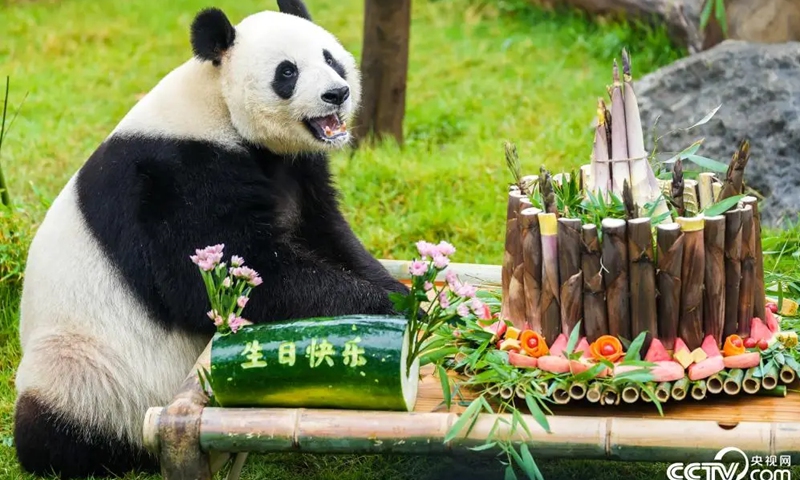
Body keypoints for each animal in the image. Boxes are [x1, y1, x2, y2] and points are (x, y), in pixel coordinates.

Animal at [13, 2, 409, 478]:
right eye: (287, 72)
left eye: (330, 58)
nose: (337, 93)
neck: (217, 107)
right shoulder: (175, 177)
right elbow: (228, 276)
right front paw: (386, 306)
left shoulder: (296, 170)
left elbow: (329, 238)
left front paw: (410, 295)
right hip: (82, 366)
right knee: (54, 428)